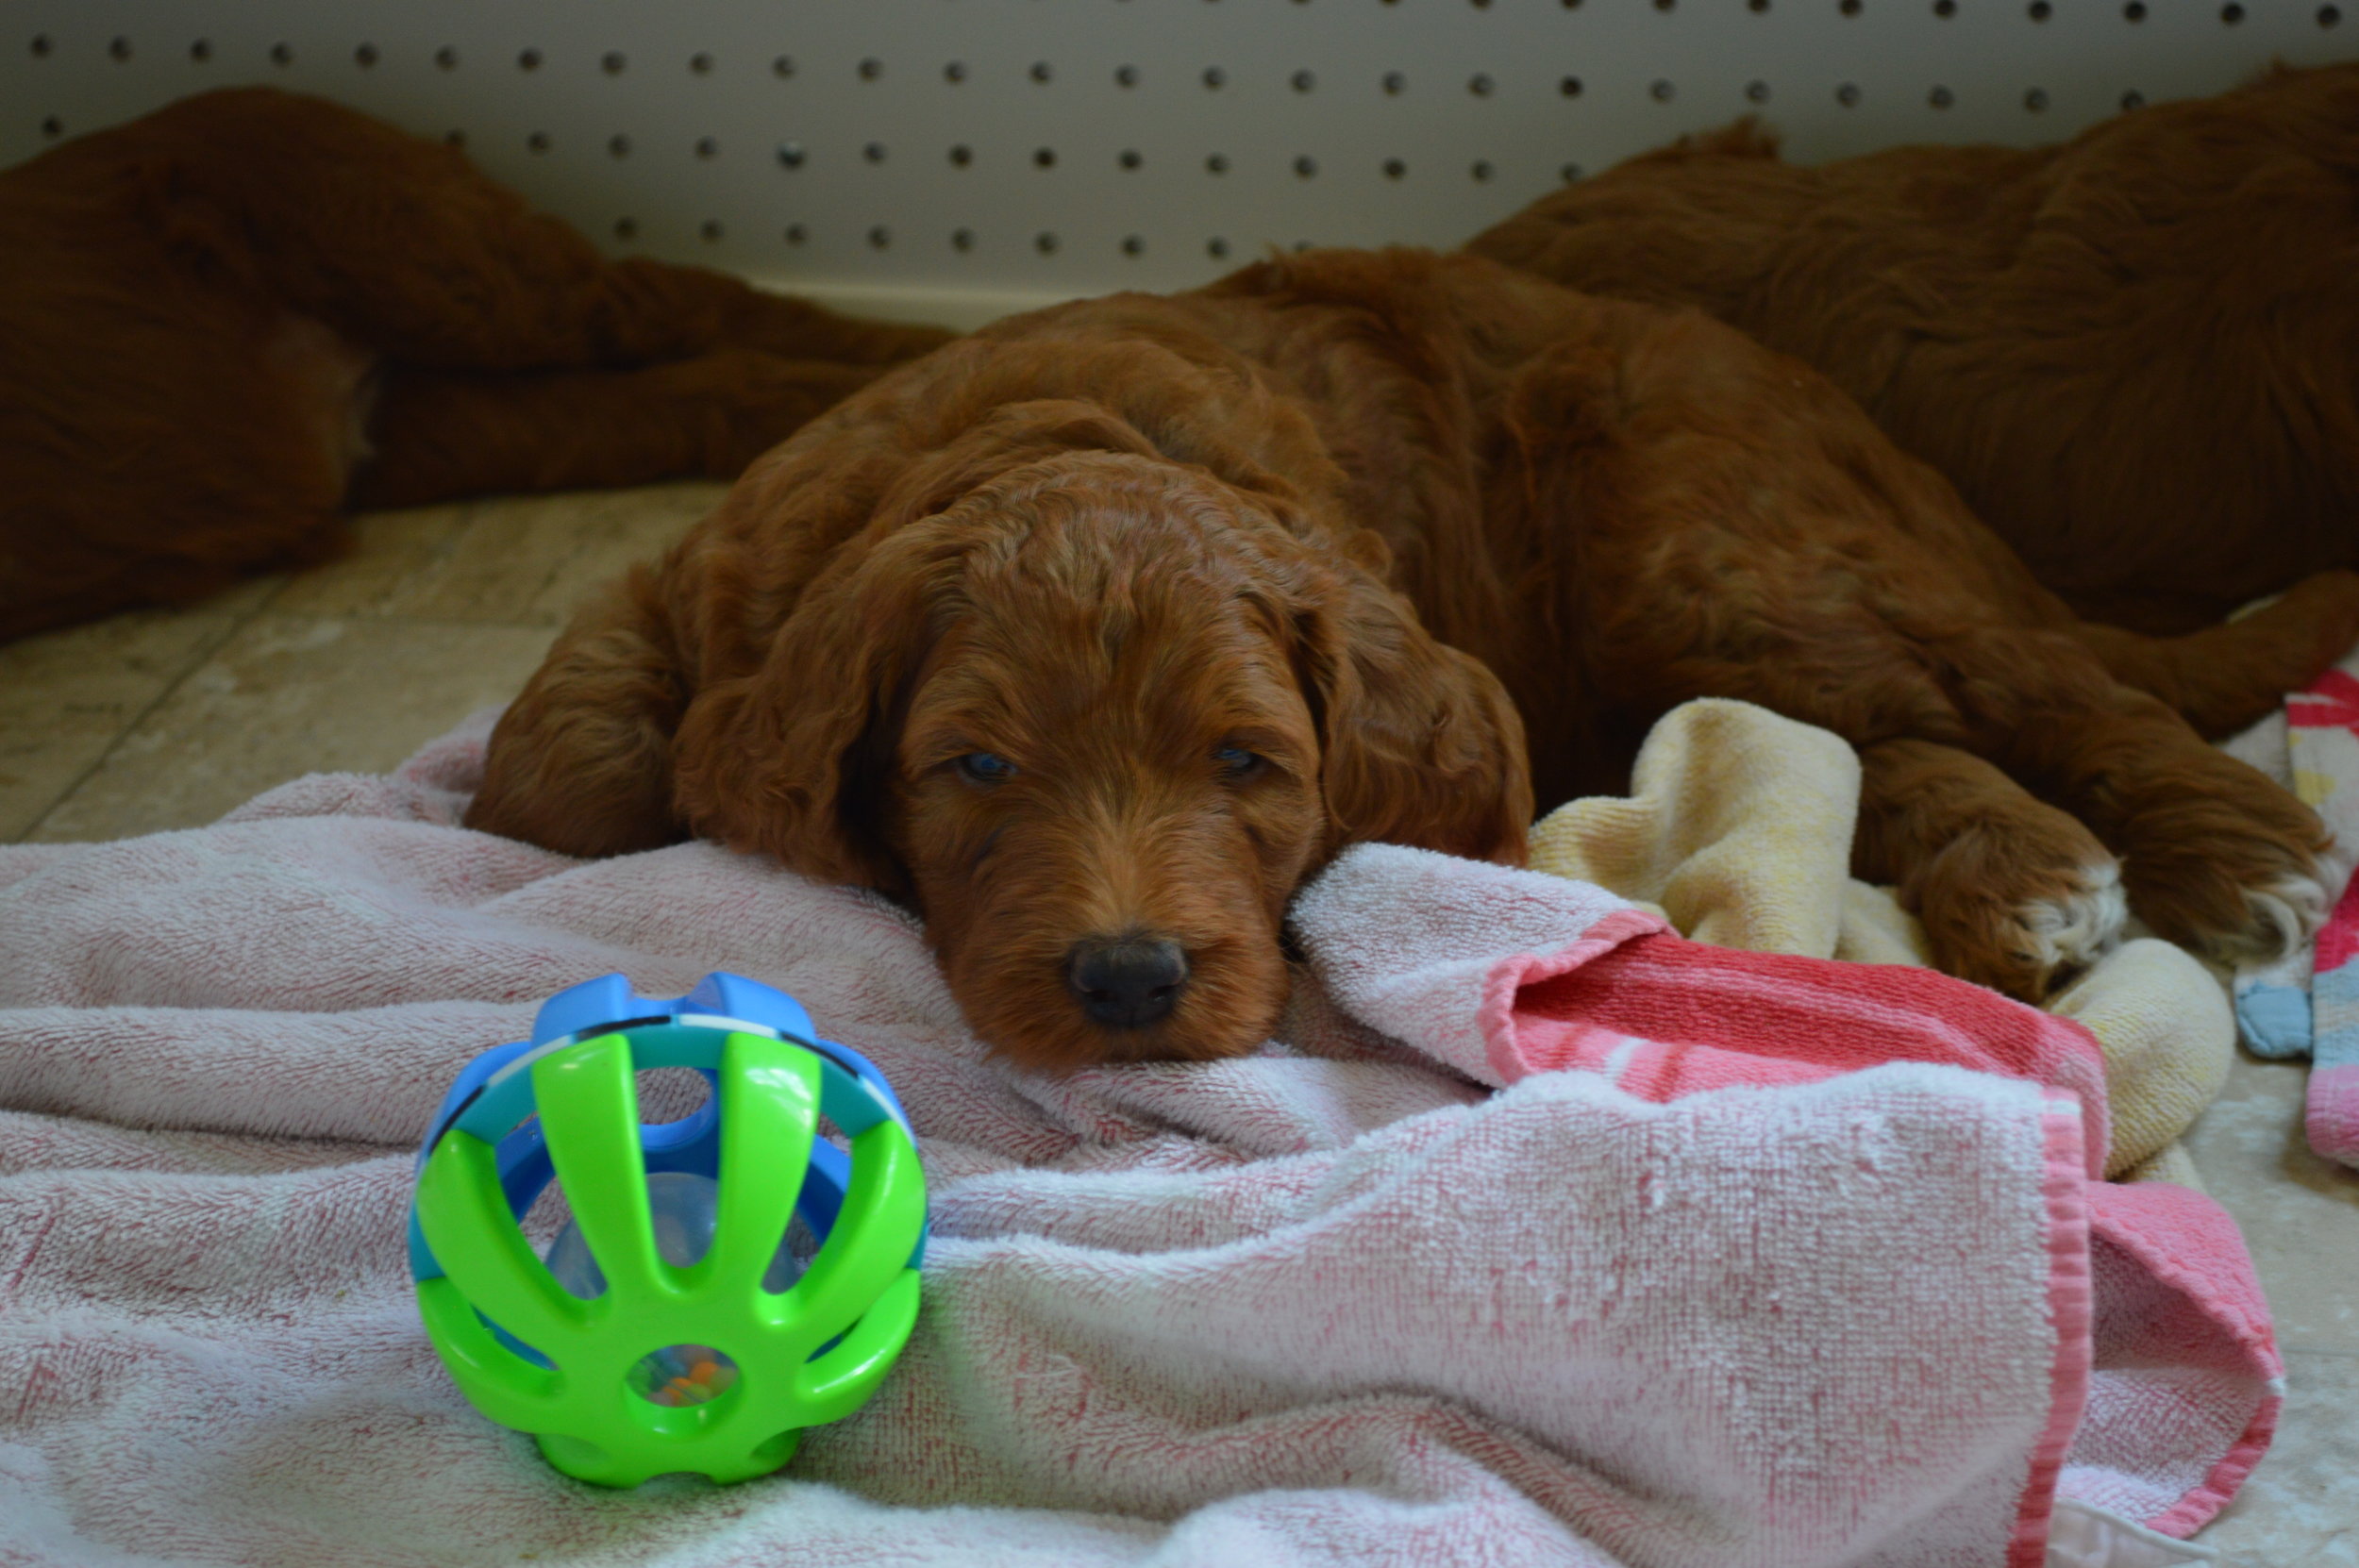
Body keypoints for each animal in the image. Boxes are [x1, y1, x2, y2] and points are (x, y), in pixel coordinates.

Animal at [469, 251, 2359, 1070]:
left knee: (2021, 684)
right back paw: (2028, 874)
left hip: (1706, 546)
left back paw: (2237, 860)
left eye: (1246, 765)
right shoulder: (691, 583)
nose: (1128, 983)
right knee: (1879, 730)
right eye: (976, 770)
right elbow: (556, 780)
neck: (1059, 432)